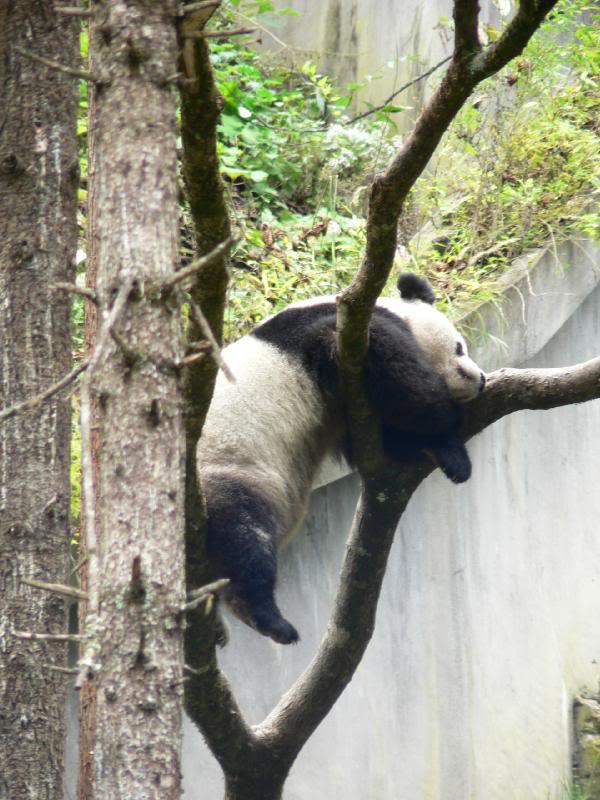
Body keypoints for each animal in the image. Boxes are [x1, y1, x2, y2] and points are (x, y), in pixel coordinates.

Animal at [197, 273, 486, 645]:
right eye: (459, 348)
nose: (480, 379)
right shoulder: (342, 338)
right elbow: (403, 380)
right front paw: (452, 447)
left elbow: (388, 438)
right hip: (224, 472)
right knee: (244, 538)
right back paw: (269, 620)